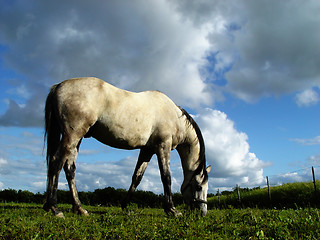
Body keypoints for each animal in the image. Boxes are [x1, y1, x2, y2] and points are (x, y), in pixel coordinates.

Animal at [43, 77, 211, 218]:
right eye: (198, 187)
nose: (203, 212)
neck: (174, 117)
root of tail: (59, 86)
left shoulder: (147, 150)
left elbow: (137, 177)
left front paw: (125, 206)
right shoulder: (163, 146)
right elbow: (166, 177)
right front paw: (172, 209)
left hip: (76, 139)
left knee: (69, 169)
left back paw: (79, 208)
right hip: (72, 135)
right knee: (56, 163)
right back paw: (54, 208)